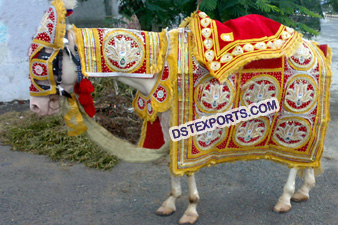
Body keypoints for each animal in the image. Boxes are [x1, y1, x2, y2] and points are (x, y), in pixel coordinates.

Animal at [27, 0, 332, 224]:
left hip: (294, 119)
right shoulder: (166, 123)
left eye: (44, 56)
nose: (36, 106)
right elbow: (172, 171)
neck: (159, 65)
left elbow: (186, 169)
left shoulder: (190, 128)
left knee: (294, 160)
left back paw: (286, 198)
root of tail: (318, 48)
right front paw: (170, 203)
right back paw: (304, 190)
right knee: (308, 158)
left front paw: (191, 210)